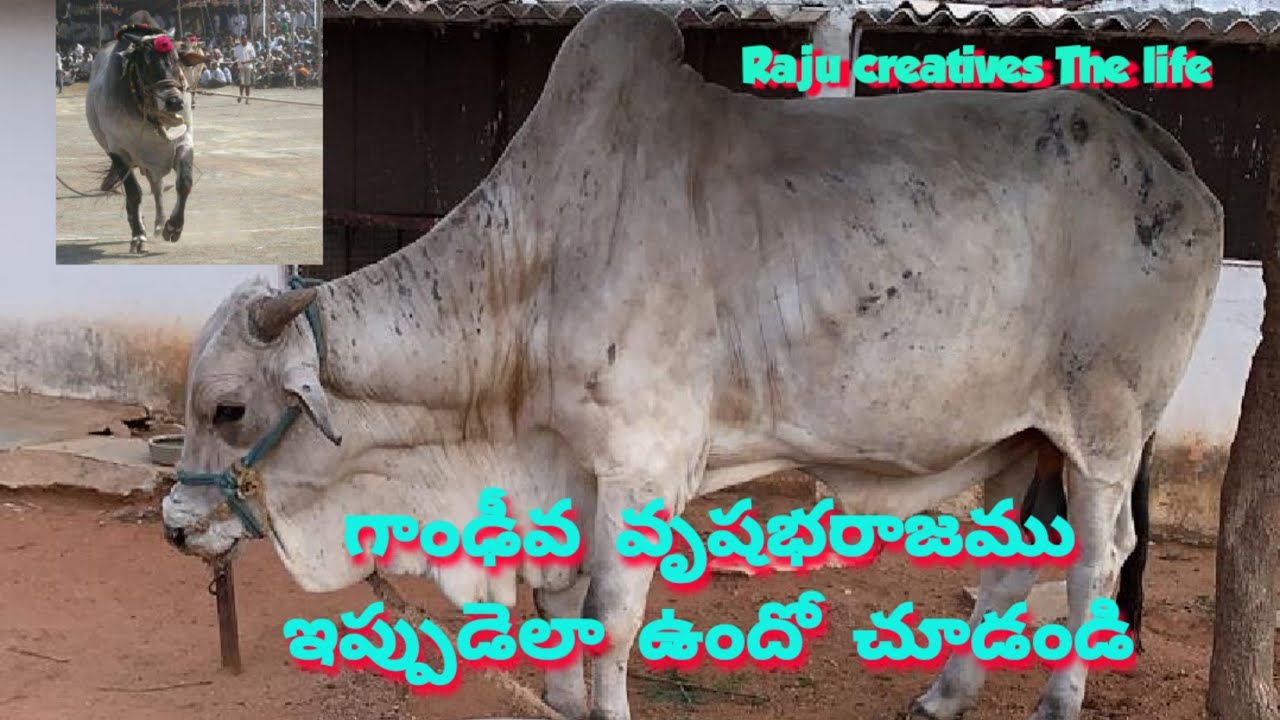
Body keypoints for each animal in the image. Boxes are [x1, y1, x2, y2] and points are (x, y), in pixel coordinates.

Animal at [87, 11, 206, 254]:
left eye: (177, 62)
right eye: (147, 65)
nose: (175, 102)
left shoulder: (184, 139)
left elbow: (184, 183)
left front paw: (173, 227)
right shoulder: (118, 150)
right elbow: (134, 194)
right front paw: (138, 236)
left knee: (157, 188)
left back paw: (160, 224)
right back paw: (140, 226)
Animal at [160, 4, 1222, 720]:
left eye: (225, 408)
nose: (174, 526)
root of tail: (1167, 157)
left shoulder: (642, 468)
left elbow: (609, 624)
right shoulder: (564, 477)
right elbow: (557, 617)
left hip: (1103, 434)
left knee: (1093, 566)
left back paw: (1056, 699)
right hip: (1020, 438)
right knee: (1008, 569)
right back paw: (944, 693)